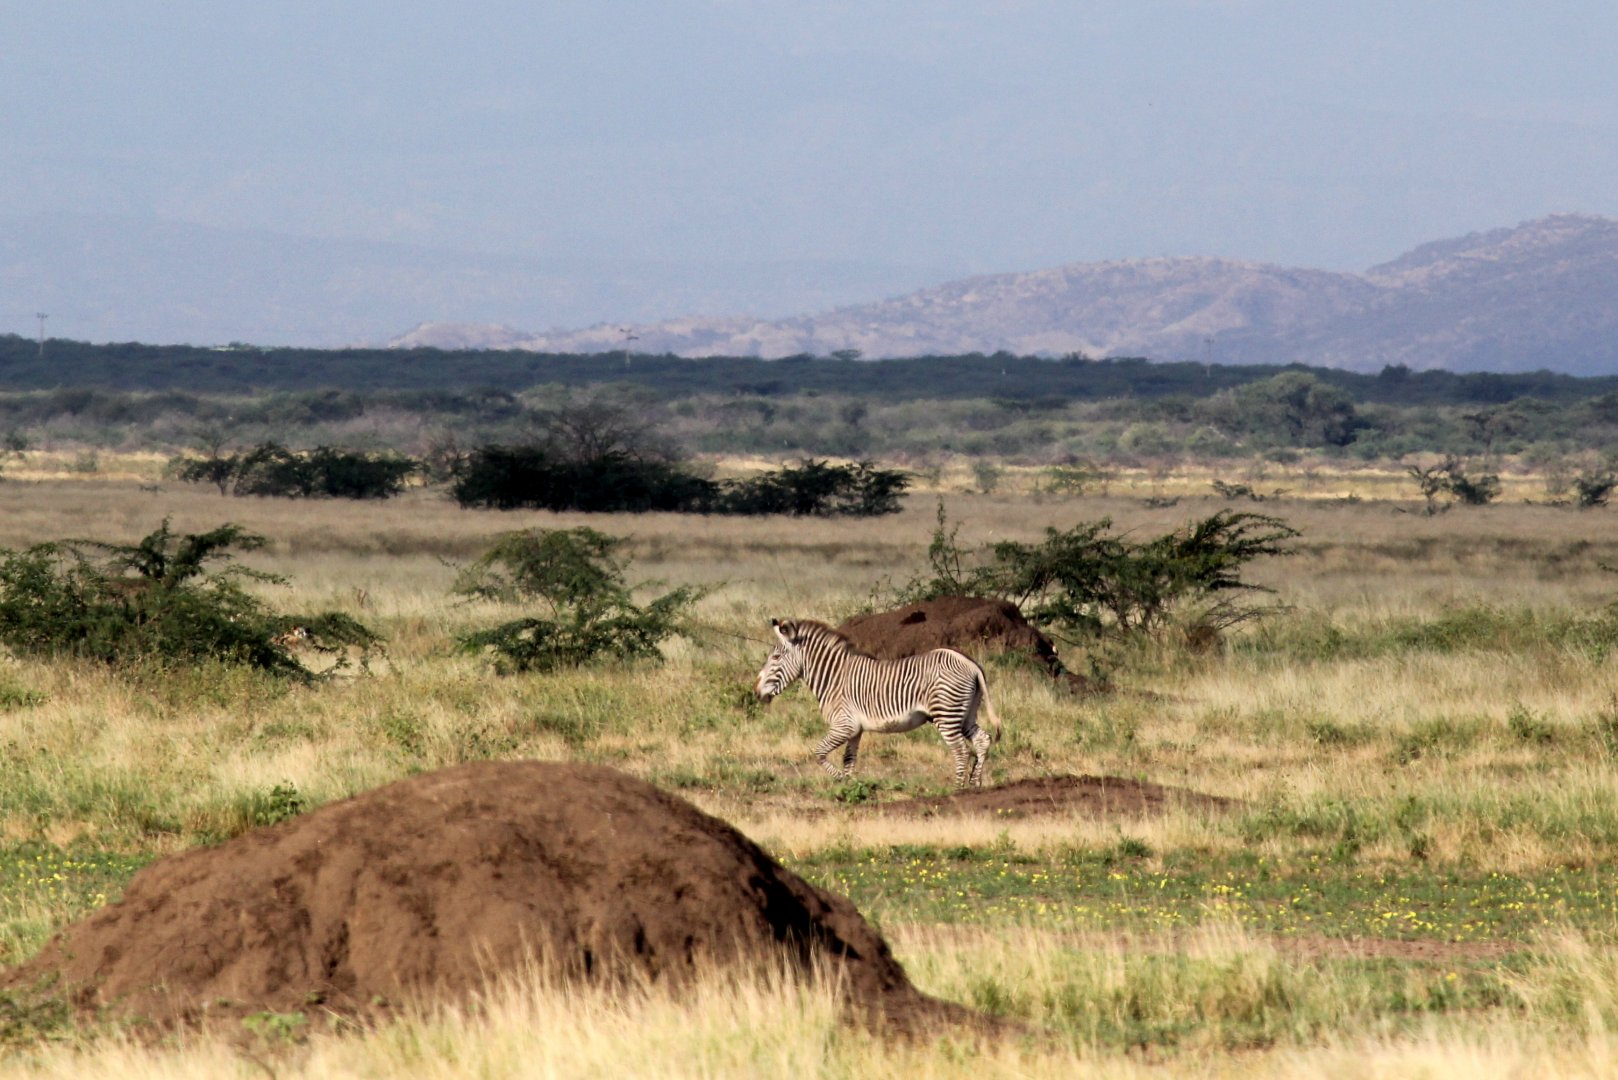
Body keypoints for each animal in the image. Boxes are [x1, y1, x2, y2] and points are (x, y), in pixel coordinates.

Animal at [753, 618, 1003, 788]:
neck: (834, 677)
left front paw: (841, 780)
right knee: (982, 740)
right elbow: (849, 759)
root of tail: (970, 663)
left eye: (776, 657)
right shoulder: (855, 729)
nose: (756, 692)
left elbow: (819, 752)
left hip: (946, 714)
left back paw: (957, 787)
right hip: (965, 713)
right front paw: (850, 788)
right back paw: (975, 783)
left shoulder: (843, 725)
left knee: (961, 749)